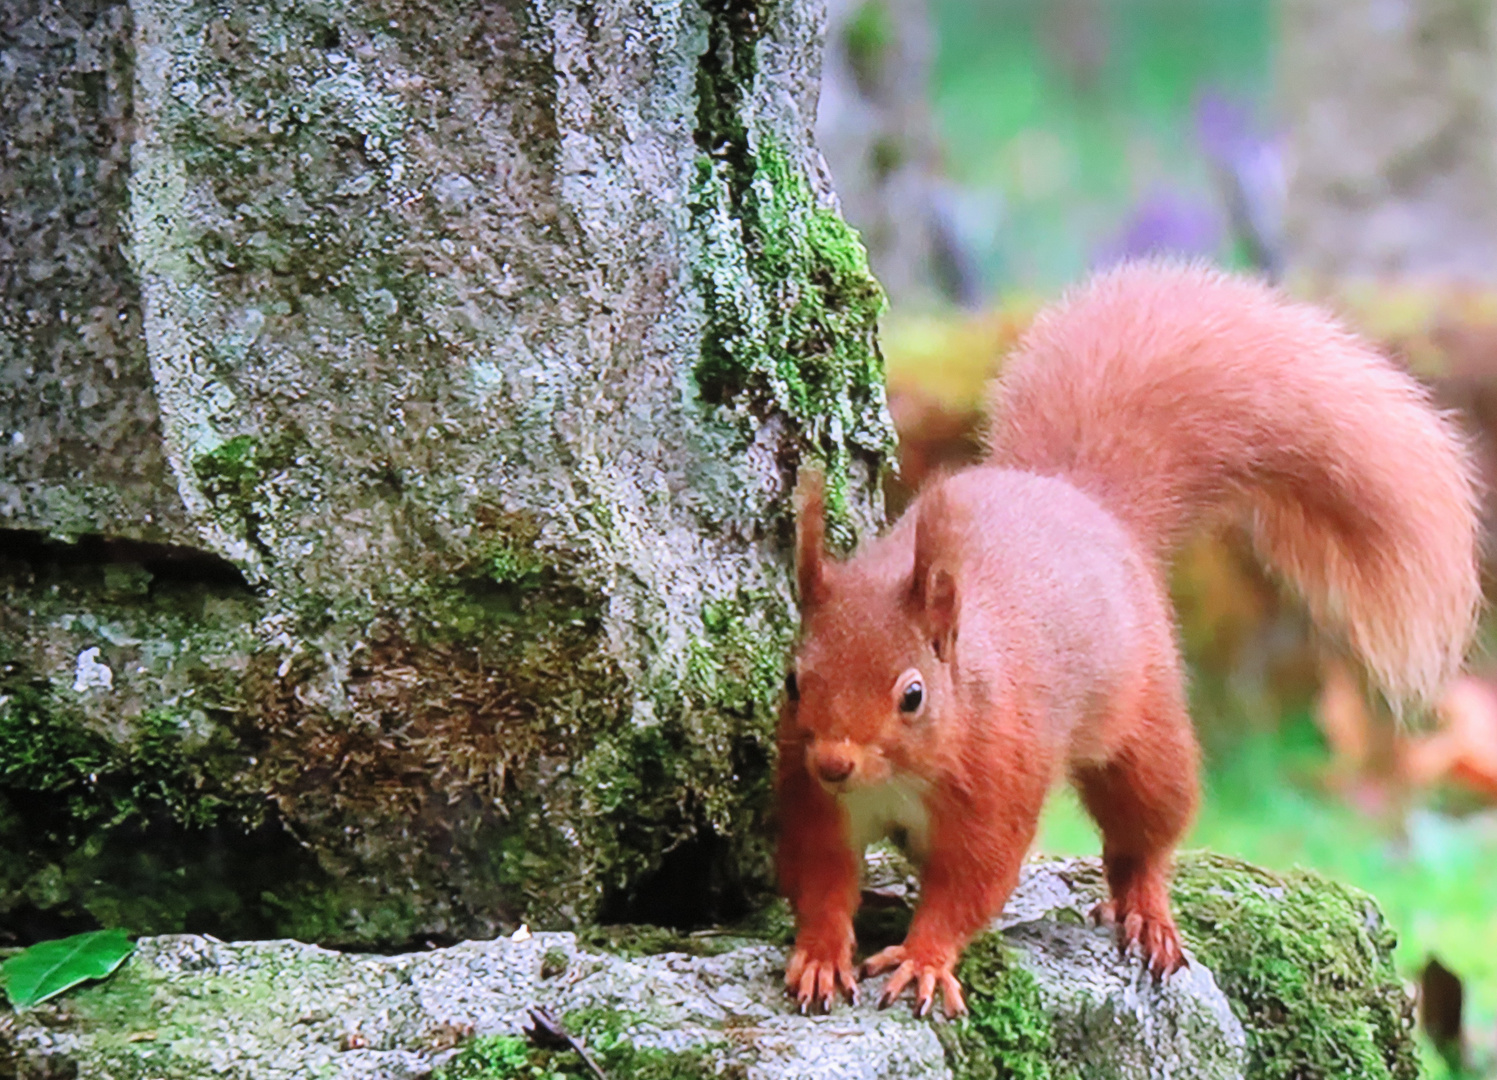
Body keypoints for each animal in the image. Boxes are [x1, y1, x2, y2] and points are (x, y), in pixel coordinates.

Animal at [778, 257, 1479, 1012]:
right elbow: (820, 878)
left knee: (1146, 831)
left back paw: (1146, 911)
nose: (834, 763)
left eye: (913, 695)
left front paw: (924, 959)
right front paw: (820, 954)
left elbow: (969, 886)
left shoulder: (996, 780)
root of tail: (1086, 501)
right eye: (792, 681)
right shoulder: (811, 801)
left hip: (1144, 723)